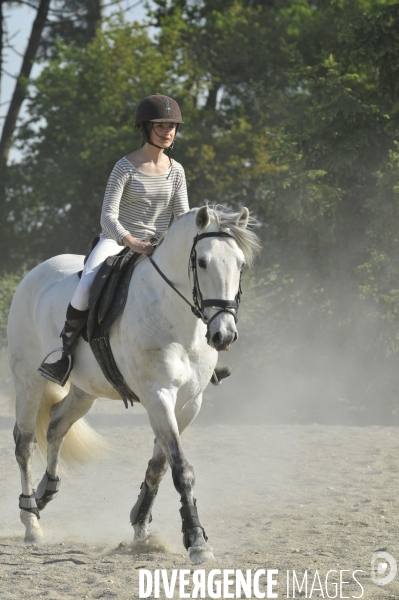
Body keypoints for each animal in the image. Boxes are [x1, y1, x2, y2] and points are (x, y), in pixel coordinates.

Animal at [8, 205, 262, 564]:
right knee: (25, 443)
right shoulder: (159, 396)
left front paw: (141, 526)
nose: (223, 335)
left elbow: (160, 465)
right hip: (28, 380)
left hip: (85, 391)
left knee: (56, 426)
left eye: (240, 264)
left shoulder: (188, 403)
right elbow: (181, 468)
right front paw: (197, 541)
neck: (177, 320)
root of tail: (35, 273)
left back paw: (46, 492)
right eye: (202, 262)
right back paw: (31, 522)